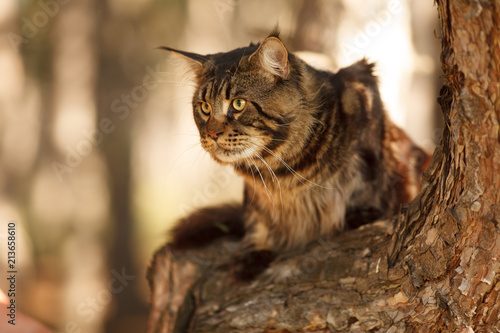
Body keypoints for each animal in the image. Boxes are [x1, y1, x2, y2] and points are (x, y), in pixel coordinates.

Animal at [162, 30, 432, 280]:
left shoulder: (364, 91)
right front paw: (253, 249)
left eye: (238, 104)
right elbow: (256, 219)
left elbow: (368, 190)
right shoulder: (256, 195)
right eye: (205, 108)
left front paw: (357, 214)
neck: (283, 169)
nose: (212, 133)